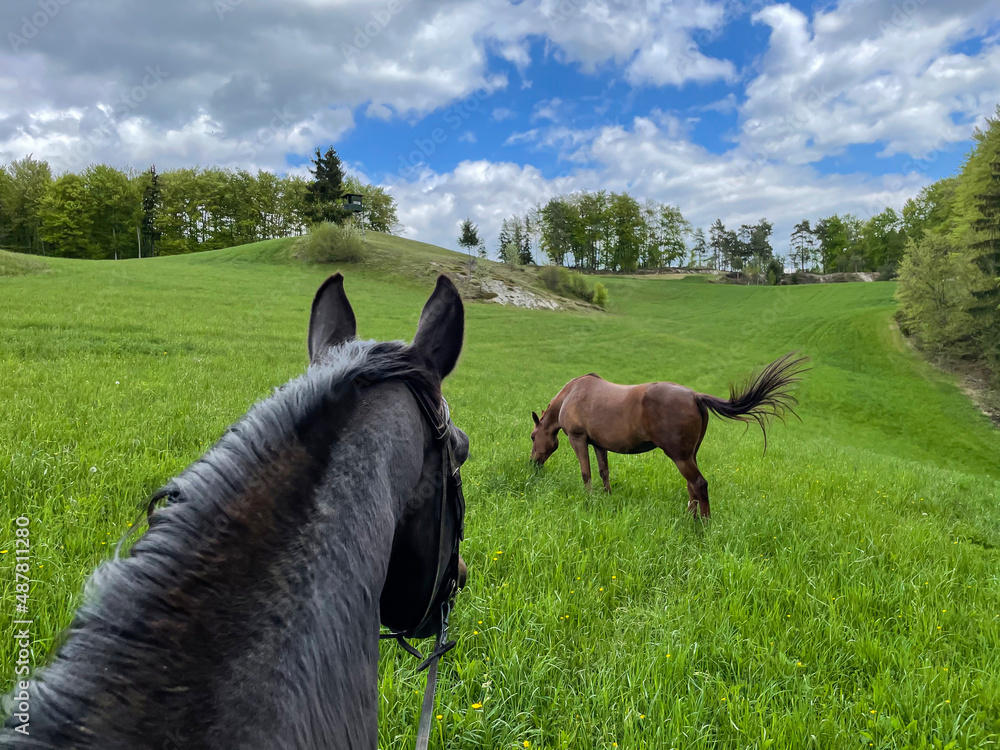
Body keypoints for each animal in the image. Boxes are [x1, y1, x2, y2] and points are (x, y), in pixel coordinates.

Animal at [528, 352, 808, 516]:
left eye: (532, 436)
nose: (532, 464)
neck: (572, 394)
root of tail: (695, 396)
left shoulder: (578, 439)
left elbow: (586, 473)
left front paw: (589, 499)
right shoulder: (599, 444)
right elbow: (603, 471)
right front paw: (607, 496)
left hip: (680, 456)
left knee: (699, 484)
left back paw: (703, 524)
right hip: (690, 455)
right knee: (692, 487)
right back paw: (690, 516)